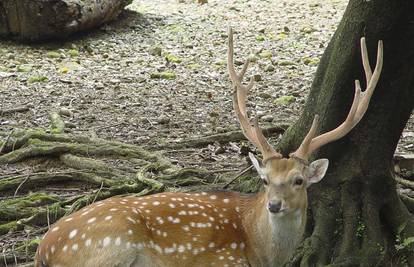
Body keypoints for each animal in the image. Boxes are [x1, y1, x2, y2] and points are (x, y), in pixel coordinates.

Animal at [34, 28, 384, 267]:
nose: (274, 205)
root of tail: (43, 249)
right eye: (265, 180)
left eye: (298, 180)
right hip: (111, 246)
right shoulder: (223, 260)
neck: (260, 251)